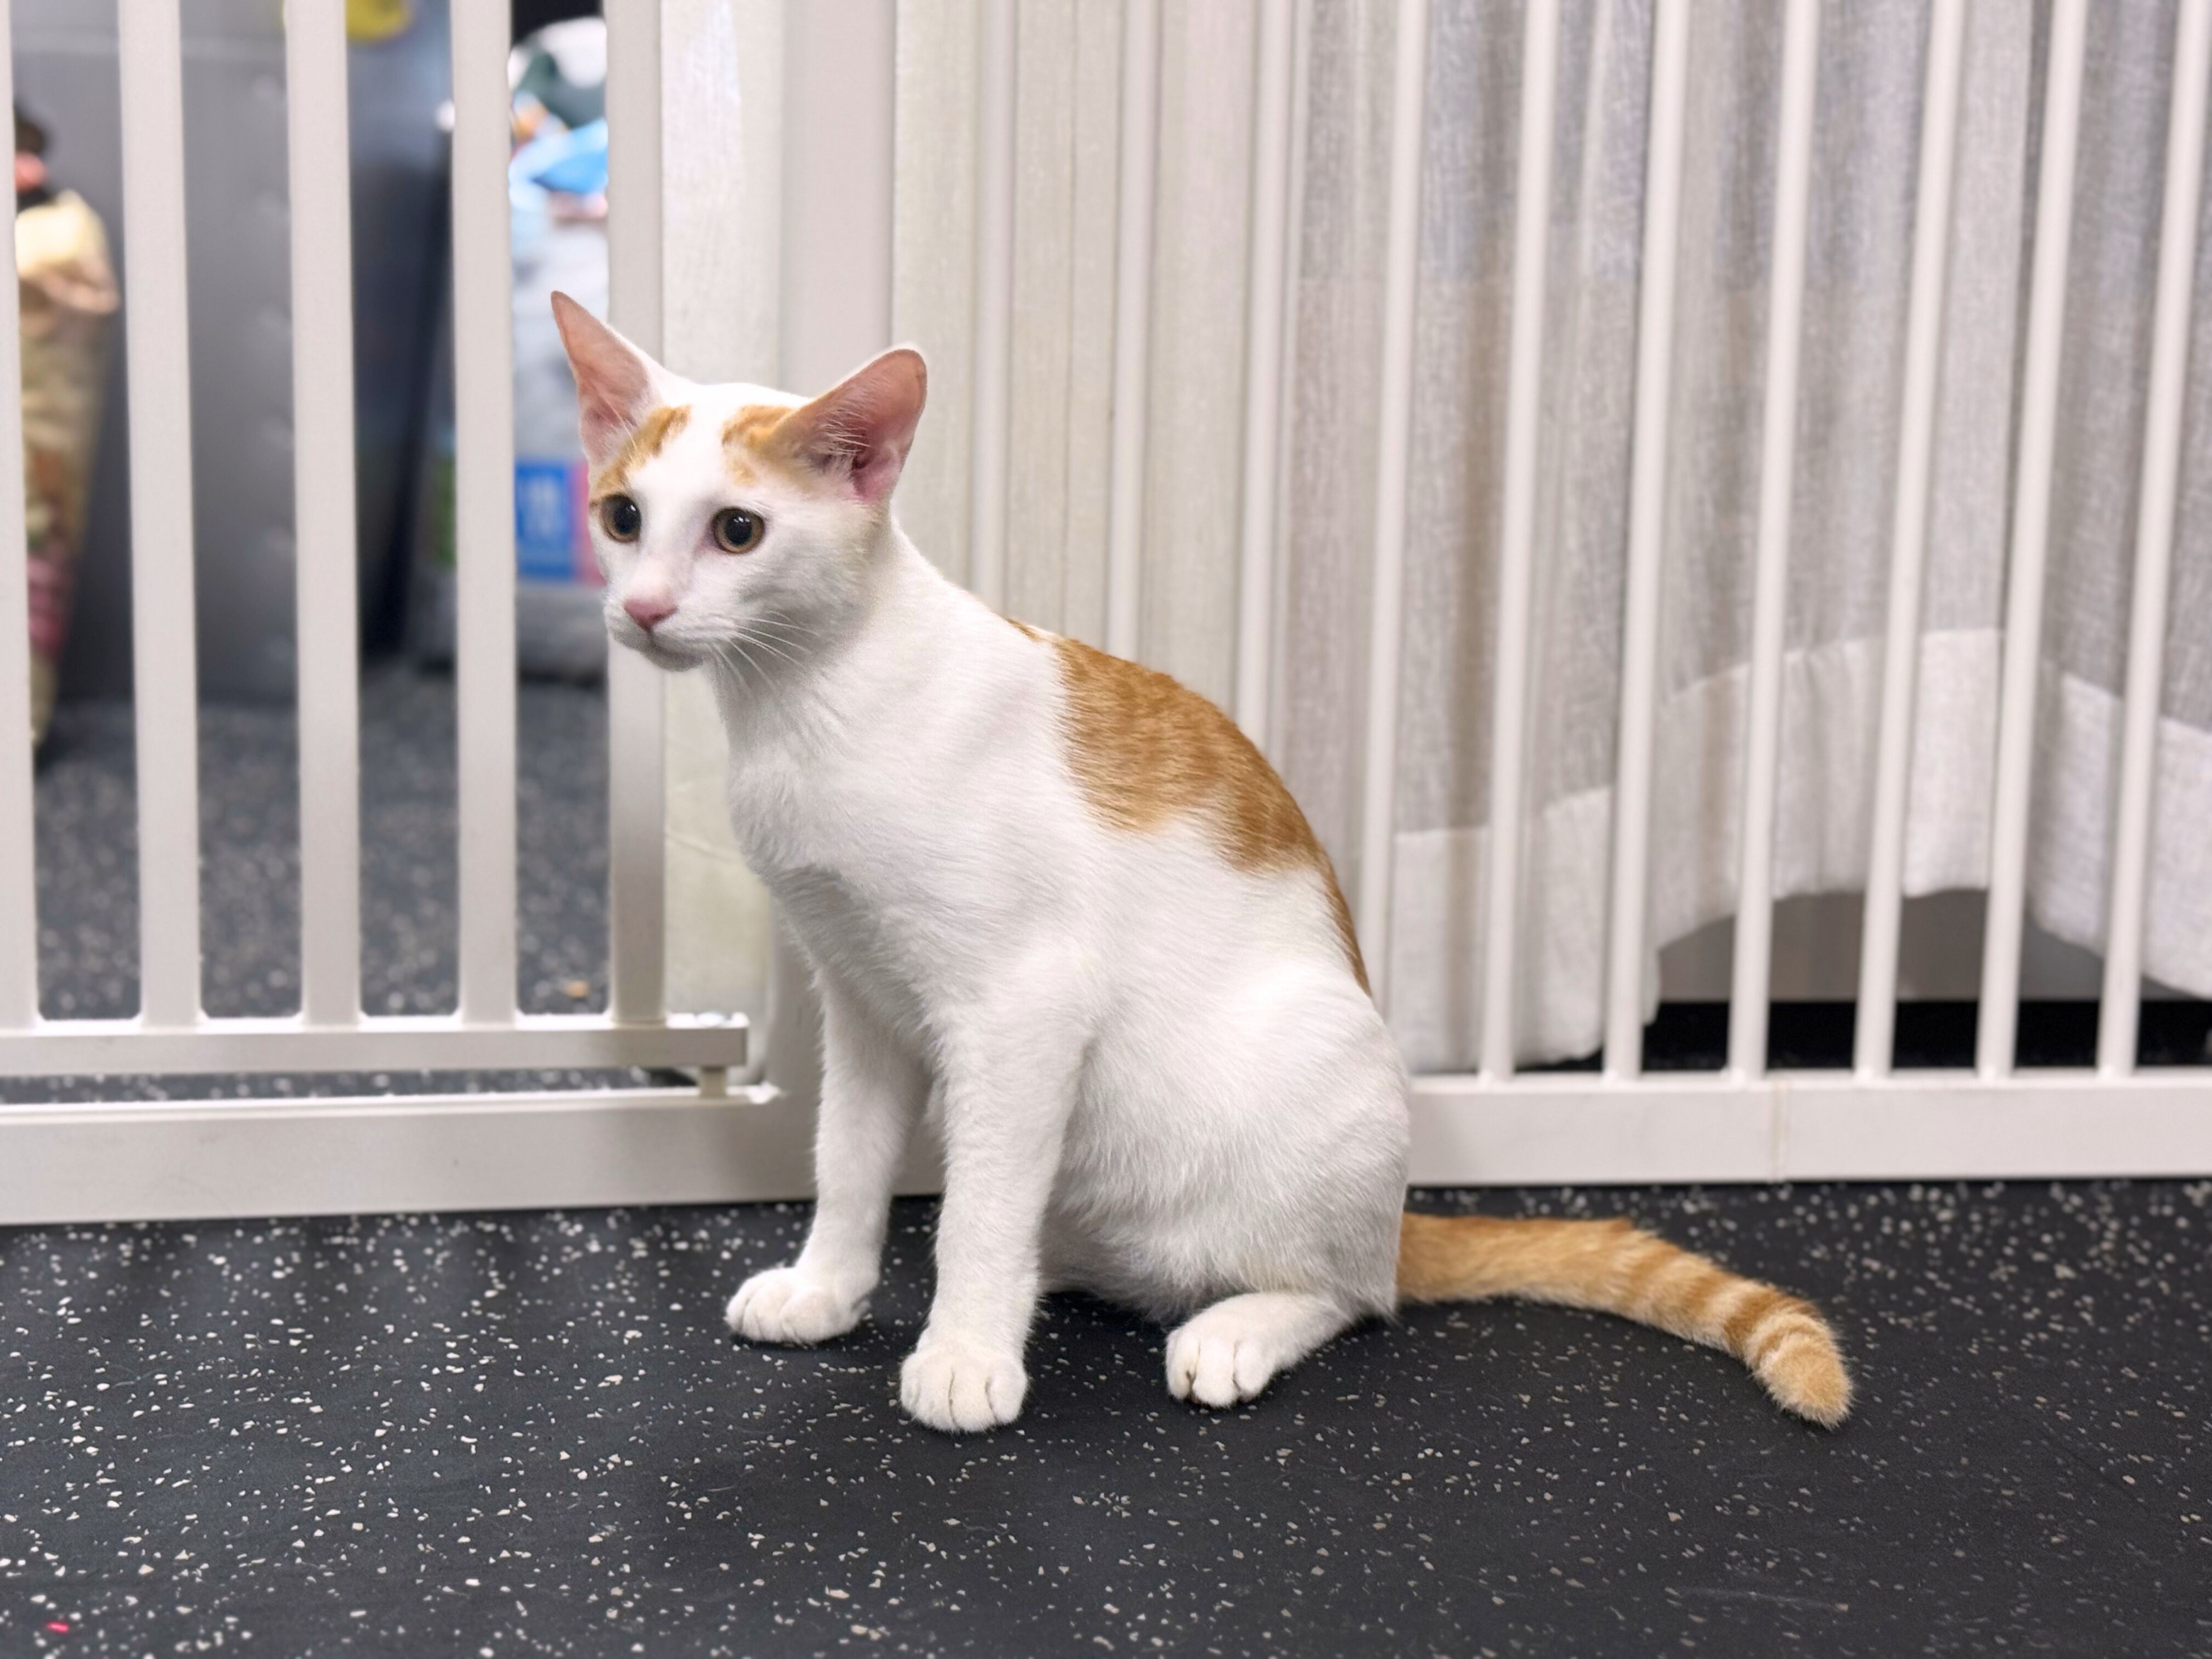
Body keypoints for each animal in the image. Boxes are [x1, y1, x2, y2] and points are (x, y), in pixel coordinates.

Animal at [551, 292, 1853, 1436]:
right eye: (622, 519)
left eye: (738, 531)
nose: (646, 609)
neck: (807, 703)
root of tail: (1393, 1217)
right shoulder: (860, 995)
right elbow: (850, 1160)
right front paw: (830, 1287)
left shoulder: (1023, 1003)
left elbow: (977, 1207)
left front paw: (965, 1353)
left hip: (1324, 1080)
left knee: (1347, 1294)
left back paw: (1229, 1326)